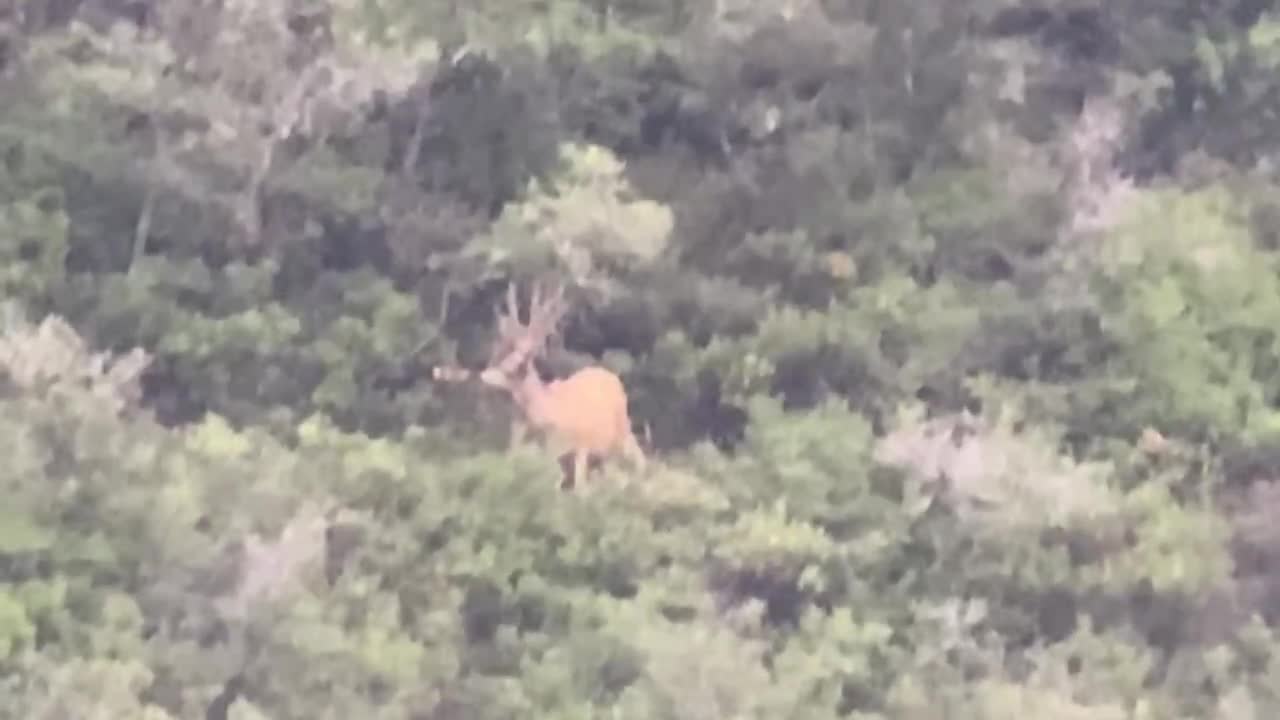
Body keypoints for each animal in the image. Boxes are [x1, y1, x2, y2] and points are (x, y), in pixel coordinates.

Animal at [432, 280, 650, 486]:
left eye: (515, 366)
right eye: (499, 357)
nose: (482, 375)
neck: (548, 414)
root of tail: (610, 375)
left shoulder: (580, 447)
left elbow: (579, 487)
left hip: (622, 430)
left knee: (639, 460)